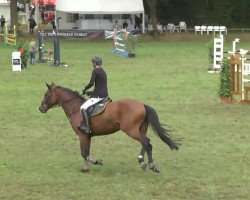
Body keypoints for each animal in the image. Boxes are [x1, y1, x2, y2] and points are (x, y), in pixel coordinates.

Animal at [38, 82, 180, 173]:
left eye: (46, 94)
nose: (41, 108)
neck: (75, 107)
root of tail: (142, 105)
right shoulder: (87, 136)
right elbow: (86, 152)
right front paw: (85, 168)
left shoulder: (82, 134)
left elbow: (84, 153)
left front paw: (97, 161)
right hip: (141, 129)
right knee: (145, 142)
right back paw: (142, 162)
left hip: (131, 130)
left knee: (147, 142)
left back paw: (151, 165)